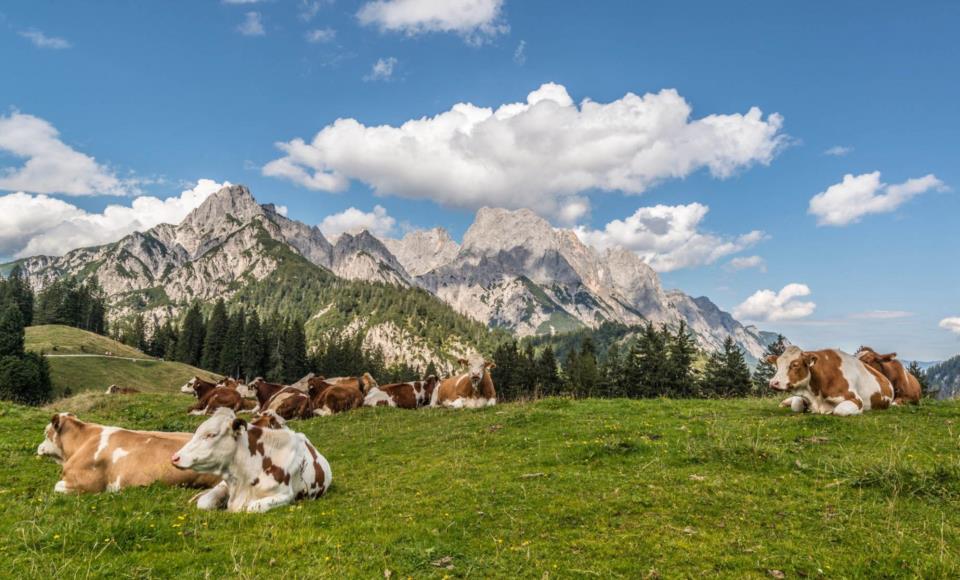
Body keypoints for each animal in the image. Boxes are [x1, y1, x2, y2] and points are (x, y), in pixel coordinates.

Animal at [764, 344, 892, 416]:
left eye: (795, 364)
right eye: (777, 364)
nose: (773, 382)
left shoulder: (856, 400)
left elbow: (838, 411)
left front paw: (829, 411)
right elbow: (796, 405)